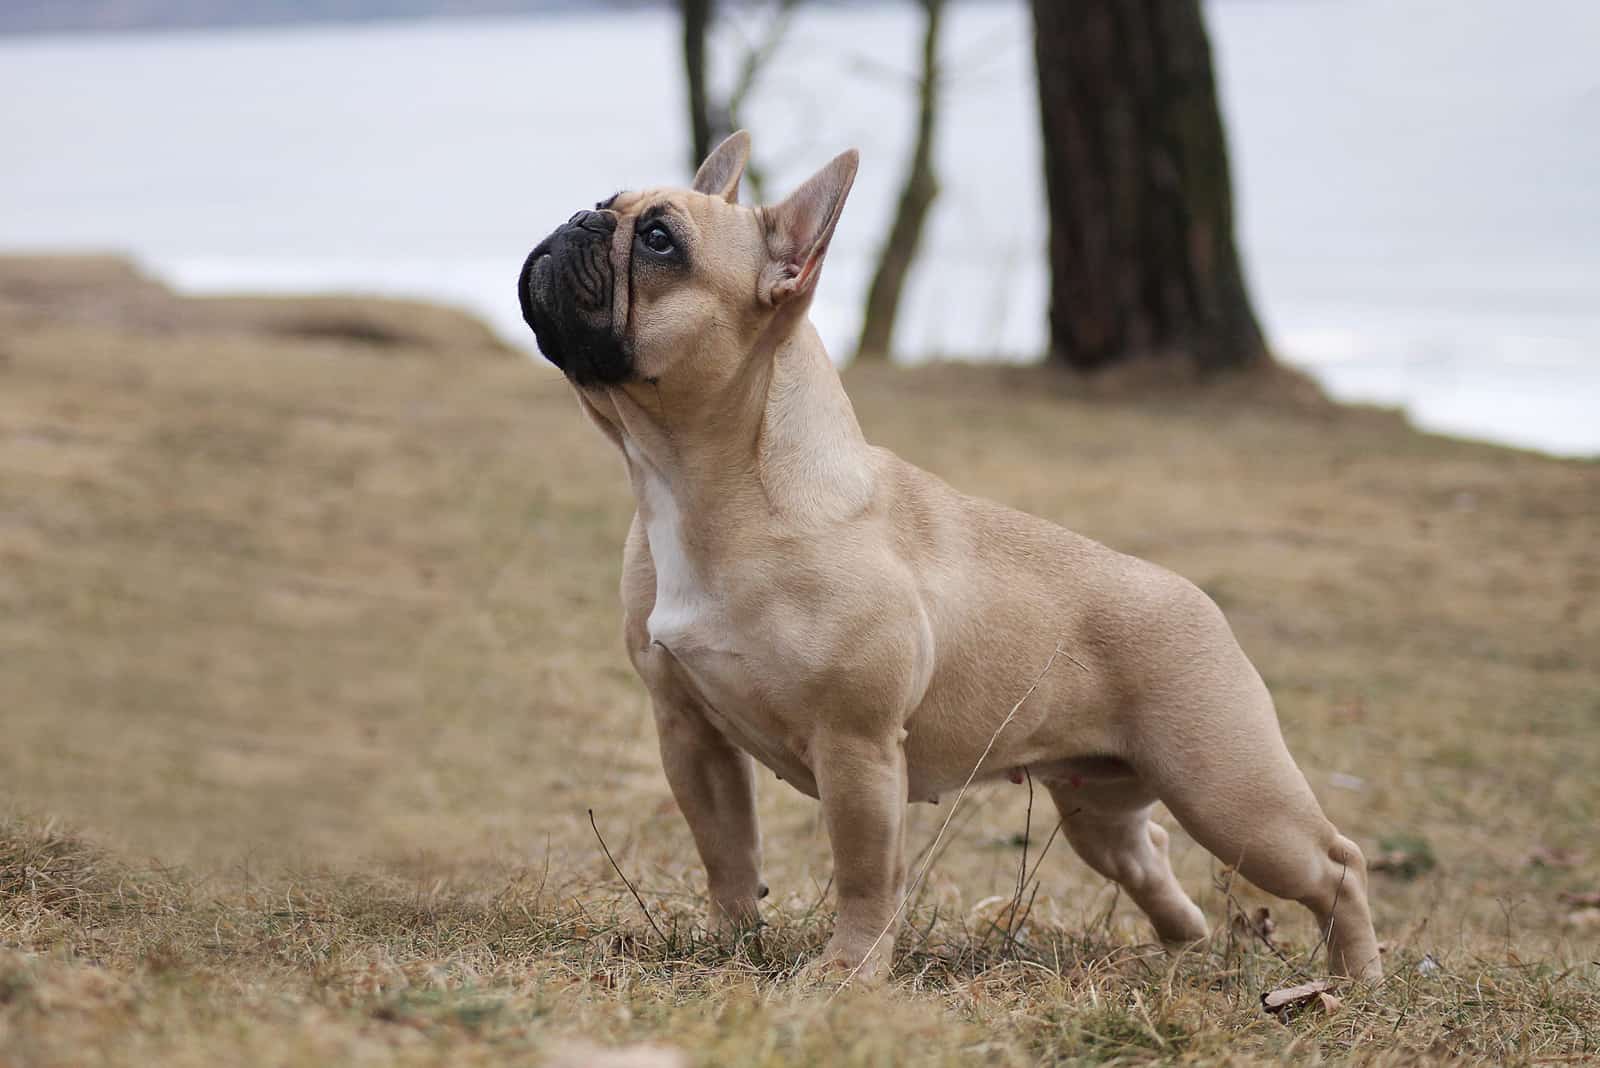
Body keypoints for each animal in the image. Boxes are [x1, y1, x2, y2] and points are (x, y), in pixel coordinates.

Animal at [518, 133, 1382, 984]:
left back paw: (1355, 982)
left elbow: (866, 874)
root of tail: (1200, 602)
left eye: (661, 241)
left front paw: (849, 973)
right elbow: (726, 851)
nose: (582, 219)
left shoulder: (858, 747)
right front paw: (730, 943)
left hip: (1228, 792)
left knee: (1334, 865)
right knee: (1147, 852)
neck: (700, 483)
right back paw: (1184, 943)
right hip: (1101, 806)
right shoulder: (689, 730)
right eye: (609, 203)